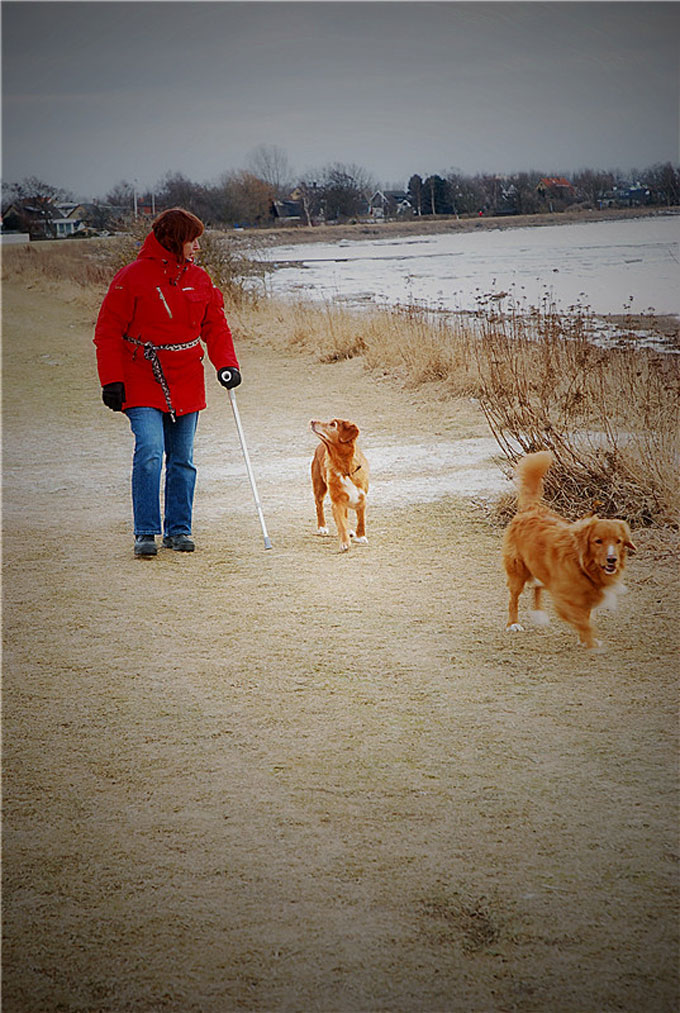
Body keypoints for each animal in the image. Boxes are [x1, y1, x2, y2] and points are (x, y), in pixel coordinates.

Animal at [312, 415, 368, 551]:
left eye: (333, 424)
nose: (312, 421)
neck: (344, 468)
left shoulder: (361, 497)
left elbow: (361, 519)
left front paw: (361, 536)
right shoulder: (337, 501)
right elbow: (341, 524)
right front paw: (344, 543)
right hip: (319, 487)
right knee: (319, 505)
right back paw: (322, 527)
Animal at [502, 449, 636, 648]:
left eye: (618, 541)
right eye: (598, 541)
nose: (612, 559)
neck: (582, 564)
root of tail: (531, 508)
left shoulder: (586, 597)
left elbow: (585, 619)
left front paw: (586, 641)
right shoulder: (563, 598)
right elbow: (583, 622)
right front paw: (591, 643)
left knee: (538, 586)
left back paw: (539, 615)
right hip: (517, 571)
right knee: (514, 598)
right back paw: (513, 624)